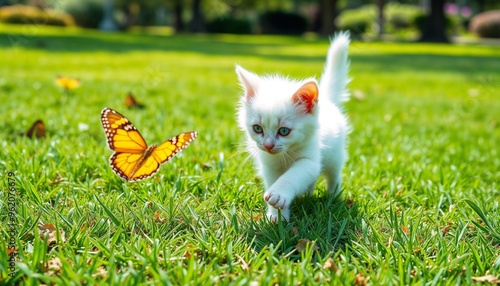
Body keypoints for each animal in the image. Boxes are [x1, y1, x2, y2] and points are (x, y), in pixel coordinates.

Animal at [235, 33, 350, 221]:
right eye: (257, 128)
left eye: (284, 131)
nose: (268, 145)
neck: (284, 156)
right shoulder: (270, 166)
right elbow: (274, 180)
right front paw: (277, 216)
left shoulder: (310, 160)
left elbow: (293, 175)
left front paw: (279, 194)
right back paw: (307, 194)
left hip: (335, 155)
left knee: (334, 175)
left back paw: (333, 196)